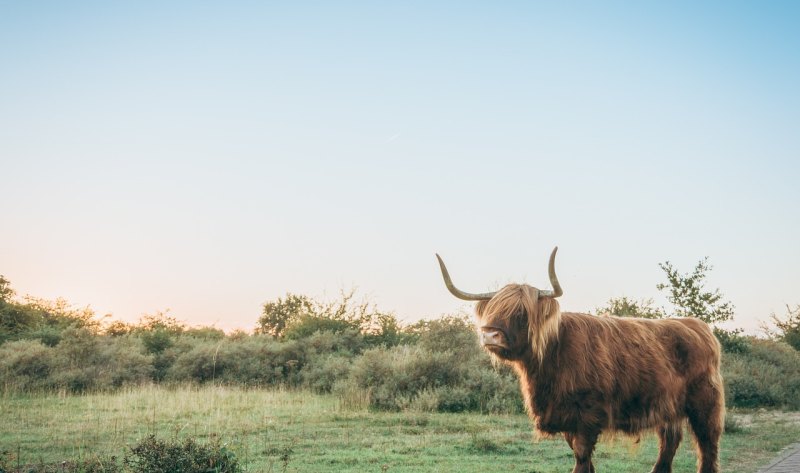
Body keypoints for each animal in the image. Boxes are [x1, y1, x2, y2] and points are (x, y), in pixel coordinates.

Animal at [438, 247, 724, 472]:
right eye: (493, 309)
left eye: (521, 313)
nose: (489, 334)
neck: (553, 357)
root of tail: (697, 325)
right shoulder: (566, 417)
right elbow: (582, 459)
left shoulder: (589, 416)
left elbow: (582, 459)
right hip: (668, 407)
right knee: (669, 444)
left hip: (705, 404)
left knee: (707, 446)